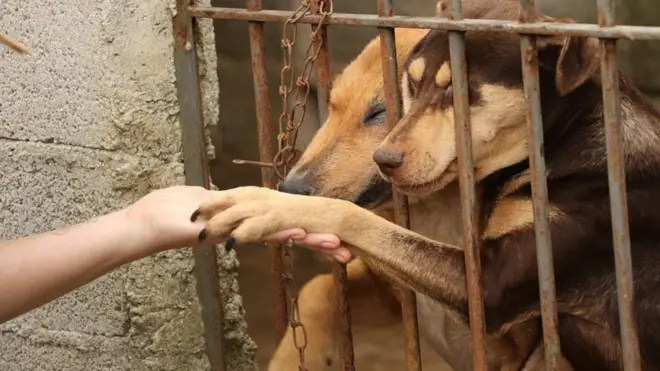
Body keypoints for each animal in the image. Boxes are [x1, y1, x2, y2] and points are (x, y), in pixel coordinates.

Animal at [192, 0, 660, 371]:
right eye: (331, 105)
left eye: (379, 112)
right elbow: (317, 286)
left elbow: (350, 216)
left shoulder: (492, 299)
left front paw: (266, 206)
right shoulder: (393, 292)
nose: (290, 187)